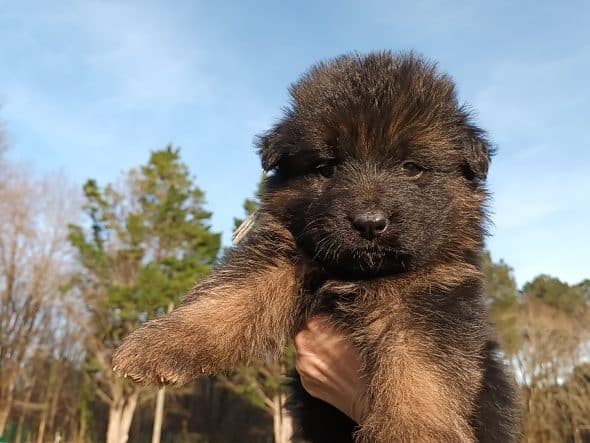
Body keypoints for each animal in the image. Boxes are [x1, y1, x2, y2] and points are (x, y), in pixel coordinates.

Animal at [114, 51, 524, 440]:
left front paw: (413, 432)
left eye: (412, 167)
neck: (361, 274)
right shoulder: (284, 259)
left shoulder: (433, 300)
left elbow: (419, 375)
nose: (369, 222)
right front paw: (162, 343)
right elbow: (229, 298)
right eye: (327, 168)